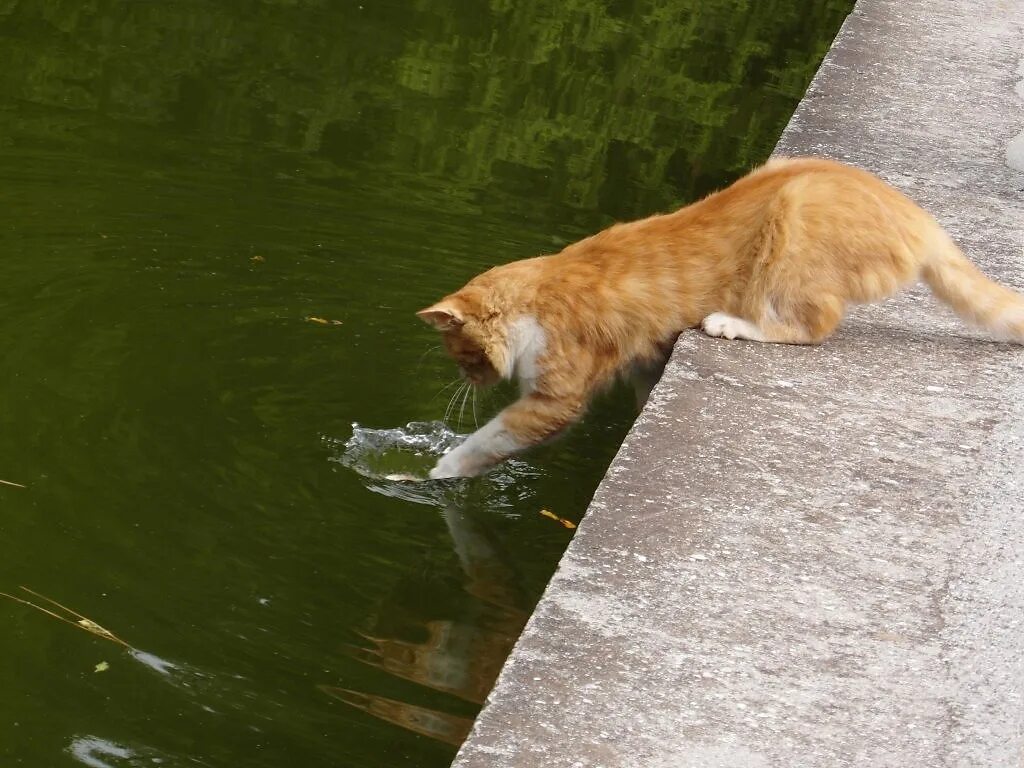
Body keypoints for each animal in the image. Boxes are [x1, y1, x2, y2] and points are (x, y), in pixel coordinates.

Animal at [415, 156, 1024, 479]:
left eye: (463, 355)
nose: (467, 380)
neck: (542, 293)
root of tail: (920, 217)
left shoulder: (553, 399)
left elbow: (488, 439)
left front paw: (437, 472)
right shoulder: (642, 362)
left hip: (792, 225)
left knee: (814, 326)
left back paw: (730, 323)